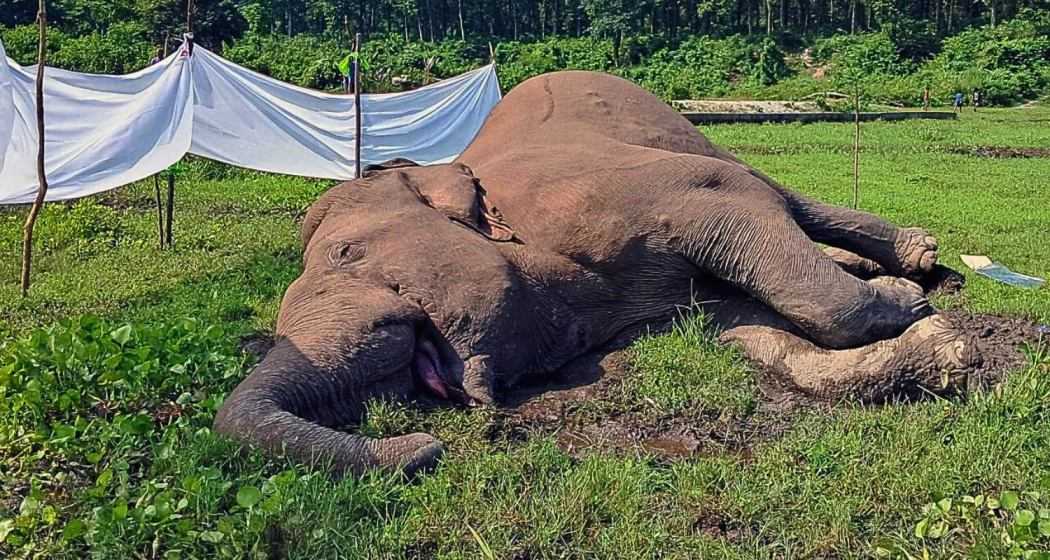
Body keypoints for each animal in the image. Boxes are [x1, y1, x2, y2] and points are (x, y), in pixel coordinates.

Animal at [211, 70, 974, 476]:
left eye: (347, 254)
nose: (429, 447)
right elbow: (745, 330)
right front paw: (939, 351)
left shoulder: (620, 193)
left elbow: (747, 218)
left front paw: (911, 302)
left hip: (685, 132)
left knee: (774, 189)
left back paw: (915, 257)